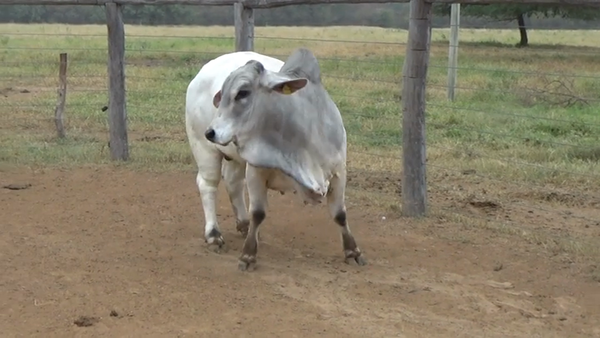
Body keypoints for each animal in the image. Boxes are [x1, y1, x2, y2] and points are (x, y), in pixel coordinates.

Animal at [184, 48, 366, 270]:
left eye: (242, 92)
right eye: (223, 93)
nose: (210, 132)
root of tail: (203, 71)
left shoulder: (339, 170)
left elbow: (340, 214)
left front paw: (353, 252)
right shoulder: (256, 170)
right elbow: (258, 213)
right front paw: (248, 255)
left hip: (234, 157)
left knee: (233, 183)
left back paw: (243, 224)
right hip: (204, 149)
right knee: (207, 184)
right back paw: (213, 234)